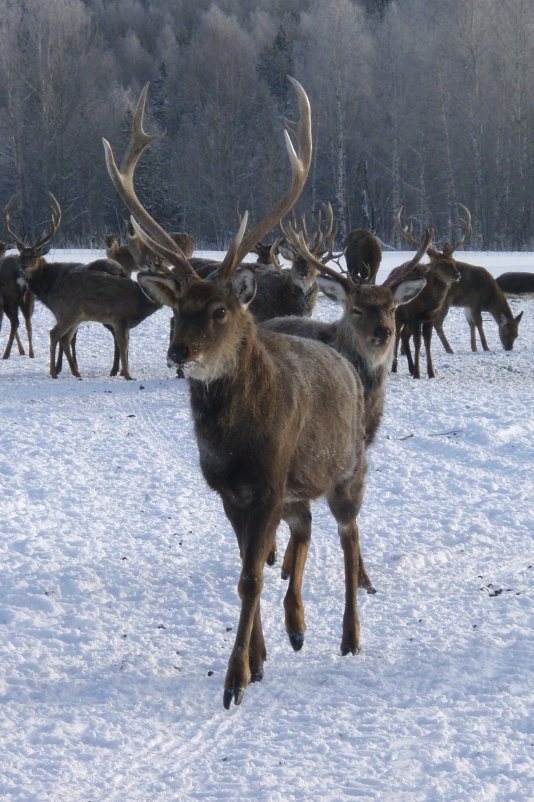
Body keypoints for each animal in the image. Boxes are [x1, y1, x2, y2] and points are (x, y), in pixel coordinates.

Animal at [103, 79, 372, 708]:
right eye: (177, 308)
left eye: (221, 309)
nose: (179, 353)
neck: (235, 442)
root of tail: (349, 366)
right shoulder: (229, 491)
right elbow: (248, 570)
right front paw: (259, 658)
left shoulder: (269, 481)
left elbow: (251, 576)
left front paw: (235, 680)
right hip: (302, 486)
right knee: (305, 529)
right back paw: (297, 628)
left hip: (347, 470)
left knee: (349, 539)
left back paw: (350, 638)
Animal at [392, 200, 472, 376]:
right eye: (441, 263)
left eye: (453, 260)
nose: (457, 275)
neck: (427, 304)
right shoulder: (414, 317)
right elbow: (418, 343)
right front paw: (418, 373)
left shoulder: (429, 318)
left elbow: (427, 343)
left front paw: (430, 372)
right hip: (399, 315)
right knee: (398, 336)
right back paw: (395, 367)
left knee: (404, 336)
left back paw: (409, 367)